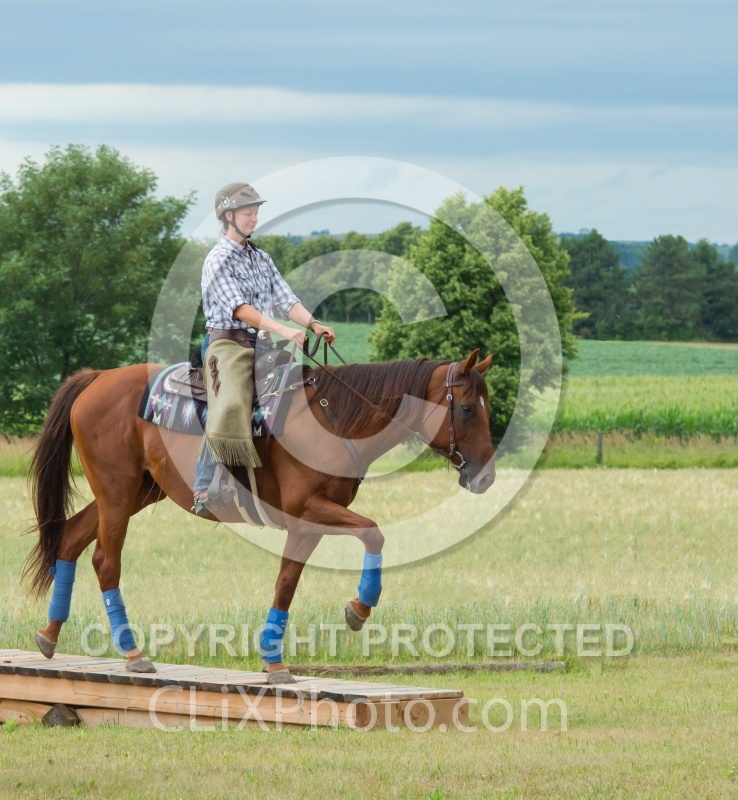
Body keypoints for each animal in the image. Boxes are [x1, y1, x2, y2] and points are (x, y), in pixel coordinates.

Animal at [23, 348, 495, 684]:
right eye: (468, 409)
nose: (486, 476)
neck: (335, 417)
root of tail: (97, 378)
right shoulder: (309, 510)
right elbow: (373, 533)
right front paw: (358, 610)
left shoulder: (308, 524)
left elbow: (286, 582)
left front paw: (274, 662)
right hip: (117, 495)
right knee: (105, 560)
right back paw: (133, 654)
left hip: (135, 492)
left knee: (70, 538)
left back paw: (48, 635)